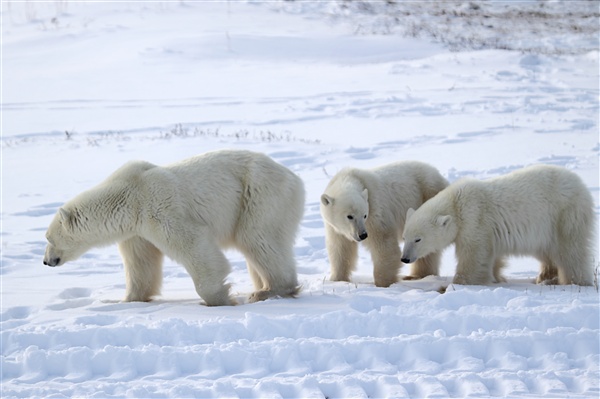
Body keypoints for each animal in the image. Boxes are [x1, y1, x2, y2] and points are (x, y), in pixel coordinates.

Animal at [43, 150, 304, 306]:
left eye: (48, 238)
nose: (46, 261)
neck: (127, 196)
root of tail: (295, 178)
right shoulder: (136, 231)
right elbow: (141, 264)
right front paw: (125, 300)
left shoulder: (158, 208)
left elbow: (194, 245)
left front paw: (220, 298)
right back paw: (262, 288)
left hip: (259, 194)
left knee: (258, 238)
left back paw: (270, 290)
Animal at [404, 164, 596, 286]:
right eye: (404, 237)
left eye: (418, 239)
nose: (405, 258)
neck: (456, 203)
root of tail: (581, 185)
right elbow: (490, 255)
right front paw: (496, 277)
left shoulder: (475, 218)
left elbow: (474, 254)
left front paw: (459, 282)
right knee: (547, 251)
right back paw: (546, 278)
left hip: (564, 215)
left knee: (571, 250)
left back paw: (574, 281)